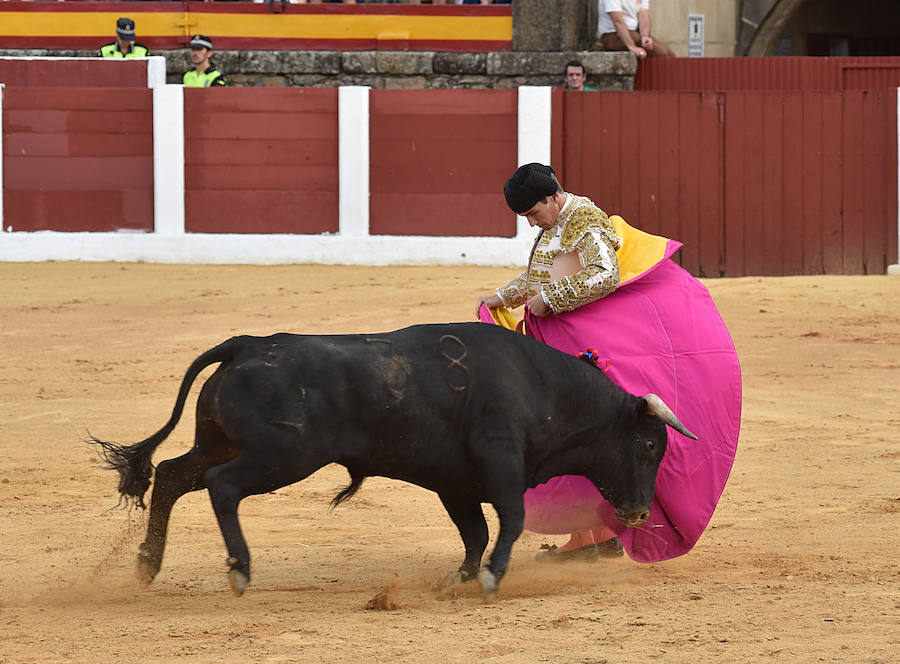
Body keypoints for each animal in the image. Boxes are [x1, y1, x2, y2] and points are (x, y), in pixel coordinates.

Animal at [93, 322, 696, 596]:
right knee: (221, 486)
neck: (542, 386)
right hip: (281, 457)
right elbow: (510, 520)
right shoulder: (501, 464)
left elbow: (475, 531)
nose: (641, 512)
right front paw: (491, 578)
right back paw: (239, 569)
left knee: (171, 476)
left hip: (221, 442)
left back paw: (147, 565)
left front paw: (459, 579)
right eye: (648, 445)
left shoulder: (457, 483)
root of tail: (247, 344)